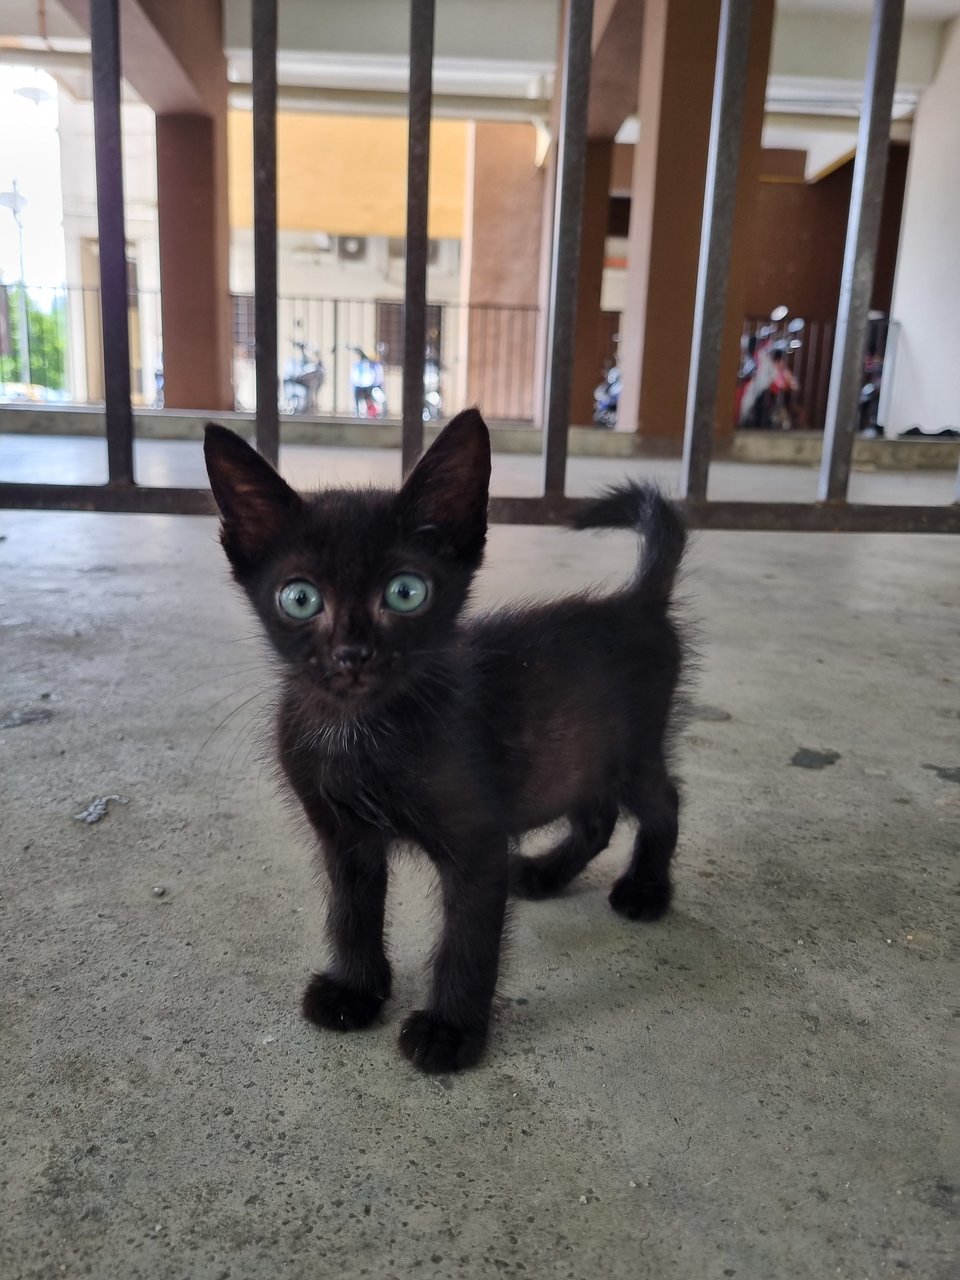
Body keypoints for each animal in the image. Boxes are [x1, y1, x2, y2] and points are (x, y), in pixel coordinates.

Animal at [204, 409, 686, 1070]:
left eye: (406, 592)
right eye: (300, 599)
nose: (353, 654)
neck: (361, 734)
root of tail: (639, 600)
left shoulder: (477, 842)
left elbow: (467, 941)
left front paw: (449, 1032)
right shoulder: (344, 836)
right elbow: (351, 911)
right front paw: (355, 991)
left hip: (630, 750)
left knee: (663, 802)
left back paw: (645, 889)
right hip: (580, 752)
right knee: (597, 816)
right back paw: (548, 873)